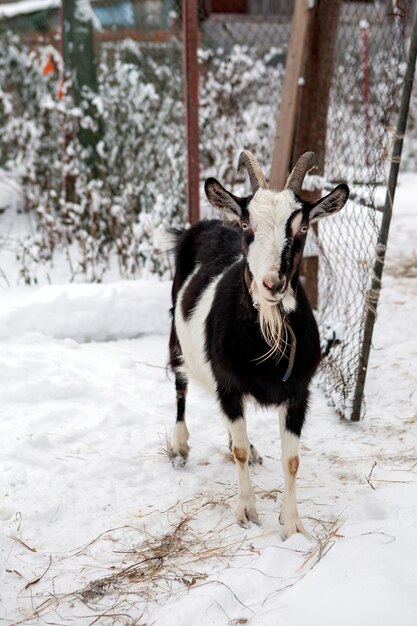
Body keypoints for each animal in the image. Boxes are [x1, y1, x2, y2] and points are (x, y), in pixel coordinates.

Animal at [168, 151, 348, 536]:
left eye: (302, 228)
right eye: (246, 226)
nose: (272, 283)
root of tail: (209, 222)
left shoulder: (298, 392)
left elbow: (292, 459)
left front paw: (292, 523)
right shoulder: (229, 384)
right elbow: (235, 451)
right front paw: (247, 511)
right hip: (176, 334)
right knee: (180, 384)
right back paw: (180, 447)